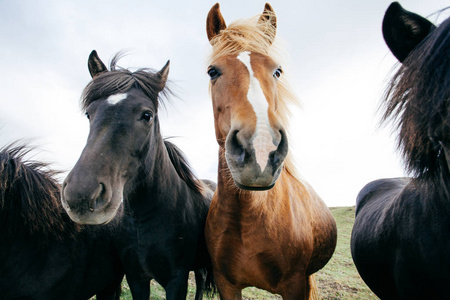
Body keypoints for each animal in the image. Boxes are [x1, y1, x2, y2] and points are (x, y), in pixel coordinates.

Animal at [62, 51, 216, 300]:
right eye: (89, 114)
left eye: (147, 115)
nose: (81, 195)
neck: (144, 218)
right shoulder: (136, 277)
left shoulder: (177, 280)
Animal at [204, 2, 338, 300]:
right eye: (212, 71)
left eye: (277, 71)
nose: (261, 151)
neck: (248, 215)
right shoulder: (226, 285)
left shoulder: (295, 285)